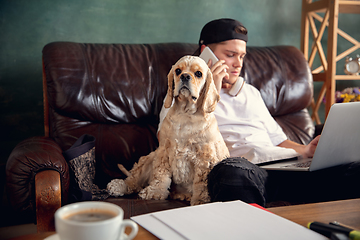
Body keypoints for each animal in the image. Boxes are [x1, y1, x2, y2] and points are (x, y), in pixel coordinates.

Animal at [106, 55, 228, 205]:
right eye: (178, 71)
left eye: (198, 74)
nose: (185, 76)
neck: (186, 113)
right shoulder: (164, 149)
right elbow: (160, 174)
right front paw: (155, 192)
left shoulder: (205, 157)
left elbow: (201, 183)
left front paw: (200, 201)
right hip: (150, 158)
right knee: (134, 180)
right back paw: (118, 186)